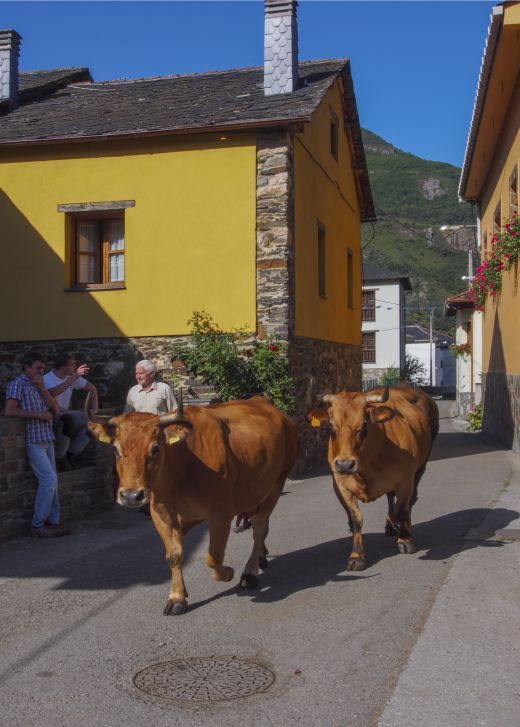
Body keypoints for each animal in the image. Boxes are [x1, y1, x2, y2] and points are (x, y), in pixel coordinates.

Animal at [89, 396, 298, 616]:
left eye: (155, 448)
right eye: (115, 449)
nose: (131, 496)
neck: (179, 467)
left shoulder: (220, 513)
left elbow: (213, 557)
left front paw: (228, 573)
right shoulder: (160, 513)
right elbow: (174, 555)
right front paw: (177, 598)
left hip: (277, 483)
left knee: (259, 528)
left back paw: (250, 572)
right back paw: (261, 557)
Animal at [308, 384, 438, 572]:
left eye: (363, 425)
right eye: (331, 426)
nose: (345, 465)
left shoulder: (405, 480)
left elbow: (402, 510)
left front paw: (405, 540)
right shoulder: (340, 486)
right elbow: (355, 519)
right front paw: (357, 556)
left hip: (421, 467)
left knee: (409, 503)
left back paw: (405, 530)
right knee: (391, 498)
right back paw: (391, 526)